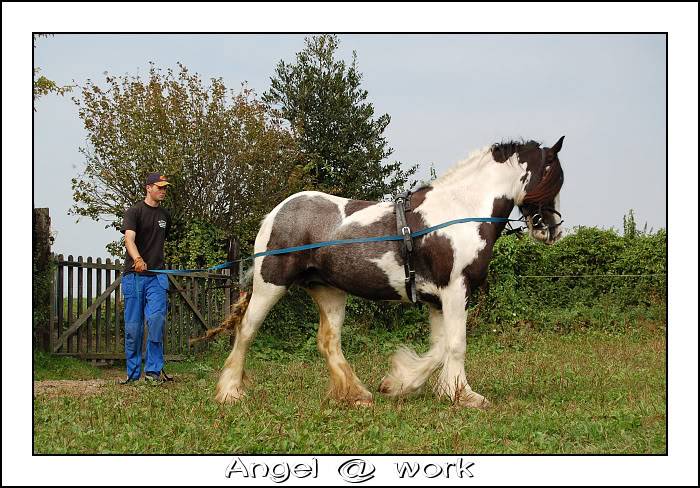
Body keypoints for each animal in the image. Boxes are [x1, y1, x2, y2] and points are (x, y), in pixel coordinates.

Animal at [212, 135, 564, 410]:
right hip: (271, 285)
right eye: (554, 178)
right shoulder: (455, 291)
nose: (553, 229)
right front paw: (464, 395)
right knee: (247, 330)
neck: (459, 212)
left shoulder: (438, 300)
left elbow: (440, 347)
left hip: (329, 291)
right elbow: (456, 344)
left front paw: (404, 383)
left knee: (329, 342)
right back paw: (230, 392)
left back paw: (356, 394)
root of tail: (276, 213)